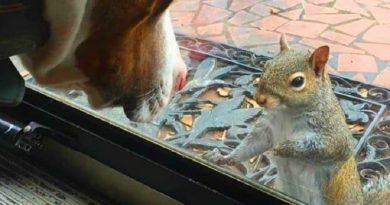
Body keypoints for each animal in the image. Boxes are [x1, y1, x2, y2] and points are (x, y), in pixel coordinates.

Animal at [203, 34, 390, 204]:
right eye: (267, 65)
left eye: (298, 81)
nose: (260, 99)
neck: (287, 113)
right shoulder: (266, 128)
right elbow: (251, 145)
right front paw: (225, 158)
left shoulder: (333, 132)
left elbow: (326, 147)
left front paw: (280, 149)